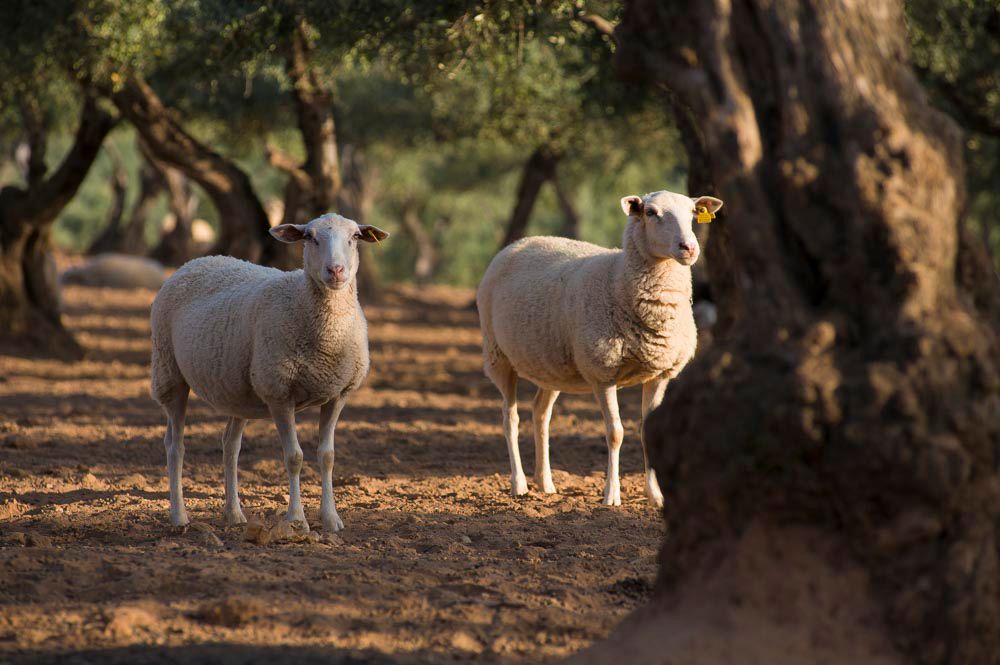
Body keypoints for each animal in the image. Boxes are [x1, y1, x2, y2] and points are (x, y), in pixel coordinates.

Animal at [150, 215, 388, 532]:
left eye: (354, 238)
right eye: (310, 238)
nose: (335, 270)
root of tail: (197, 261)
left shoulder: (337, 394)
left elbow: (327, 457)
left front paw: (331, 518)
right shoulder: (279, 393)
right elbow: (294, 457)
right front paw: (297, 519)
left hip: (236, 391)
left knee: (230, 446)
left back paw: (234, 514)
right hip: (169, 372)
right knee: (175, 445)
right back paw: (179, 516)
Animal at [474, 189, 720, 506]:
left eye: (692, 213)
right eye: (651, 213)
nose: (688, 248)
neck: (618, 278)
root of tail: (520, 242)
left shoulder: (659, 374)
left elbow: (648, 432)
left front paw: (656, 496)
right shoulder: (603, 372)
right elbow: (615, 433)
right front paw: (611, 495)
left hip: (552, 366)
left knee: (540, 413)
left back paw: (546, 483)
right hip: (498, 356)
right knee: (510, 418)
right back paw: (519, 484)